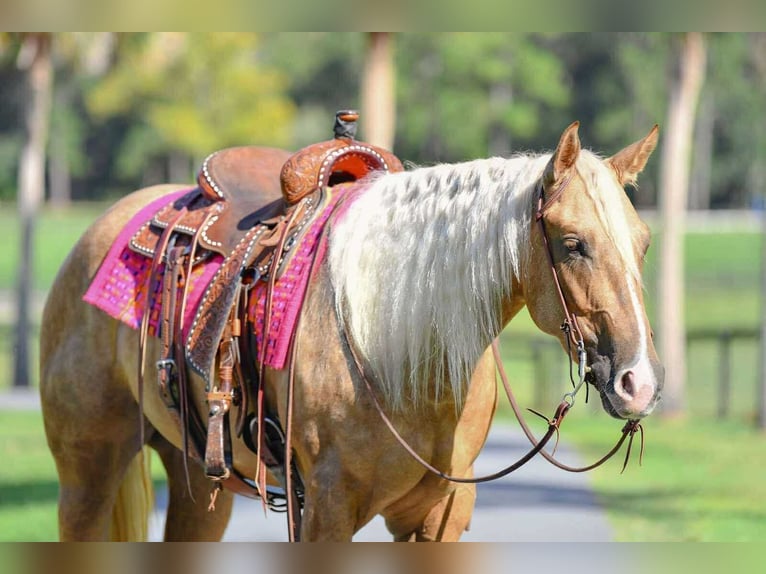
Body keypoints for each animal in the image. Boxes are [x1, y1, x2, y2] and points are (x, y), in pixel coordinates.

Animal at [39, 121, 663, 541]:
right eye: (573, 244)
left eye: (643, 243)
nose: (640, 383)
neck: (401, 352)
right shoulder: (326, 511)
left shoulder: (439, 517)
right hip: (87, 474)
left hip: (197, 484)